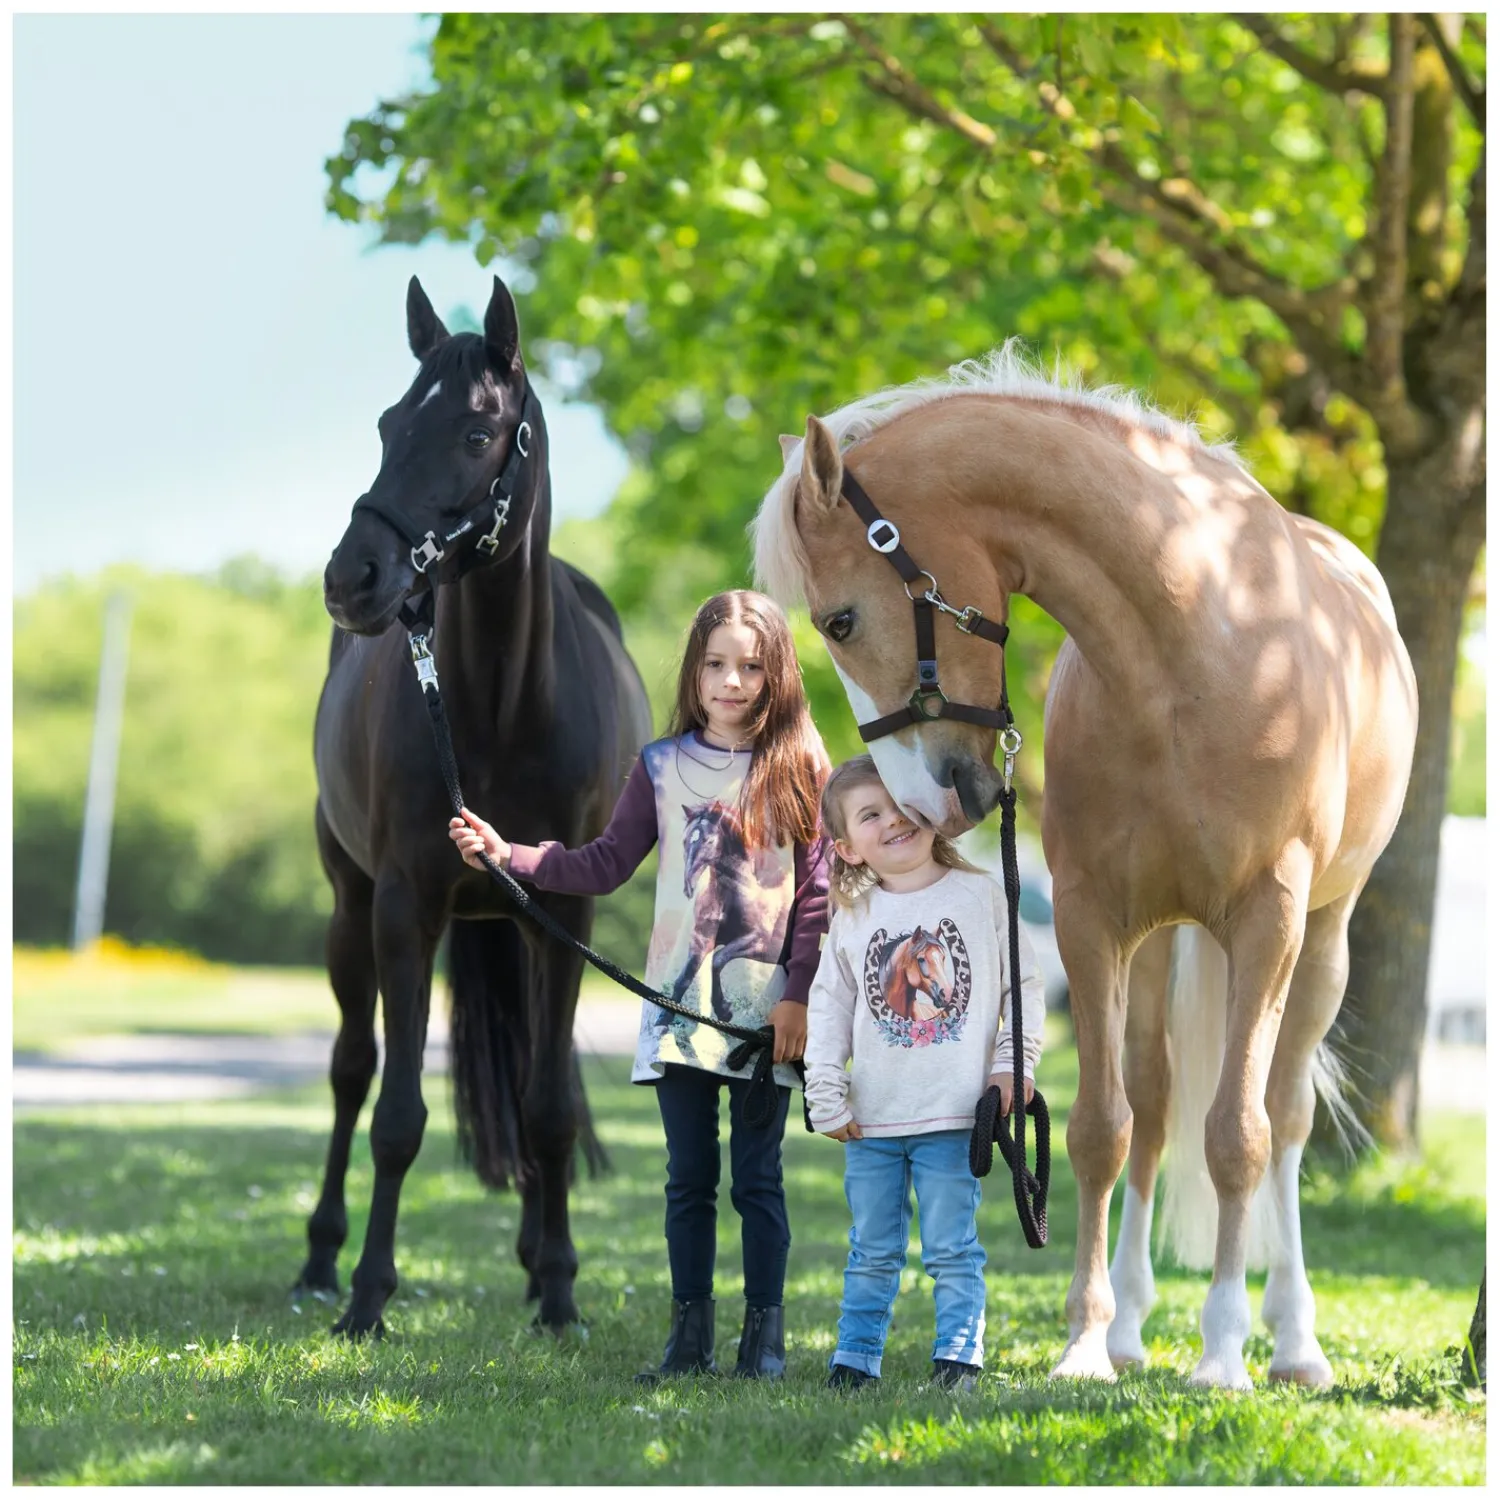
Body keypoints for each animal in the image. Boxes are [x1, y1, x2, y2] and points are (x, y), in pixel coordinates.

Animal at [306, 273, 652, 1337]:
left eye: (474, 431)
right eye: (387, 424)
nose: (352, 579)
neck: (500, 703)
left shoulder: (566, 914)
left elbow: (548, 1110)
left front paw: (561, 1291)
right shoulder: (404, 909)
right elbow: (396, 1116)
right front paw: (368, 1296)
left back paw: (537, 1263)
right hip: (348, 912)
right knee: (350, 1069)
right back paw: (318, 1261)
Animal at [753, 345, 1417, 1390]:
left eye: (842, 620)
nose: (927, 801)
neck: (1197, 650)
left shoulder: (1268, 917)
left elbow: (1239, 1136)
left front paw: (1222, 1353)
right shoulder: (1093, 921)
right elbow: (1100, 1130)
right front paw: (1085, 1342)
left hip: (1320, 943)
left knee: (1285, 1114)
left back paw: (1292, 1340)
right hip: (1160, 947)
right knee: (1153, 1103)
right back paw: (1136, 1326)